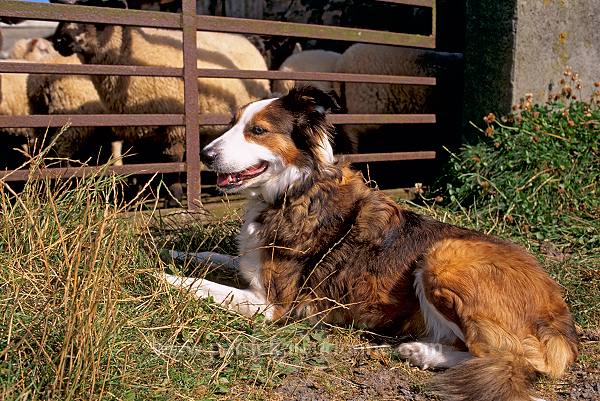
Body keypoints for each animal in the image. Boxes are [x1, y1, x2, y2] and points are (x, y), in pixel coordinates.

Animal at [51, 0, 272, 199]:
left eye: (95, 19)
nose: (60, 41)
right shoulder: (139, 128)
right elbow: (140, 163)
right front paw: (142, 194)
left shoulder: (175, 125)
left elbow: (172, 159)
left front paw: (174, 196)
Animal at [163, 86, 576, 398]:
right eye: (232, 124)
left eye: (258, 130)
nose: (204, 154)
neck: (296, 191)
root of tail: (558, 315)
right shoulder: (251, 267)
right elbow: (214, 255)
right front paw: (174, 252)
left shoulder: (273, 305)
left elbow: (204, 285)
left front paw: (163, 279)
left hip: (444, 256)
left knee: (513, 358)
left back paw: (421, 352)